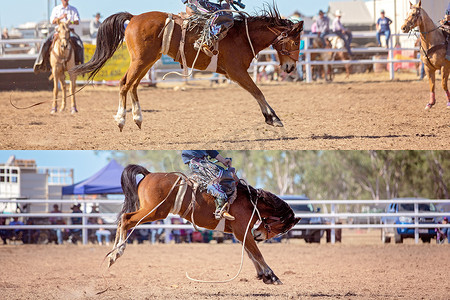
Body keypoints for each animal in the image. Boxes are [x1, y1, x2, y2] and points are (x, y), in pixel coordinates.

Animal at [71, 7, 302, 130]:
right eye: (295, 42)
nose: (290, 67)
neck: (242, 37)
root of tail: (134, 17)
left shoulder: (237, 73)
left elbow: (256, 93)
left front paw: (270, 117)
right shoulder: (237, 72)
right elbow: (258, 92)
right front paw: (274, 118)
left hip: (148, 61)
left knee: (133, 85)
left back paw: (137, 117)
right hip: (140, 60)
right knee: (124, 83)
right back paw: (121, 119)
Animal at [107, 165, 300, 284]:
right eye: (281, 228)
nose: (260, 235)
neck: (250, 202)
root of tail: (149, 174)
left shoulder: (240, 234)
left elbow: (251, 253)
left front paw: (263, 275)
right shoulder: (242, 231)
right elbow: (257, 253)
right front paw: (272, 276)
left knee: (122, 220)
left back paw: (112, 253)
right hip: (153, 212)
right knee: (125, 219)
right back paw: (116, 253)